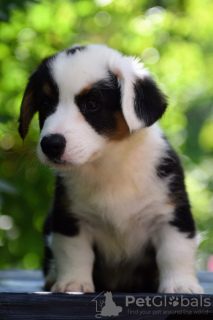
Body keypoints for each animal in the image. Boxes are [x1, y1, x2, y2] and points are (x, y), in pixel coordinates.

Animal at [18, 43, 203, 294]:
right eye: (45, 104)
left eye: (91, 104)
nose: (50, 145)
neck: (108, 164)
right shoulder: (70, 218)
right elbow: (74, 252)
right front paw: (73, 283)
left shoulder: (172, 216)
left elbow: (175, 252)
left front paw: (181, 285)